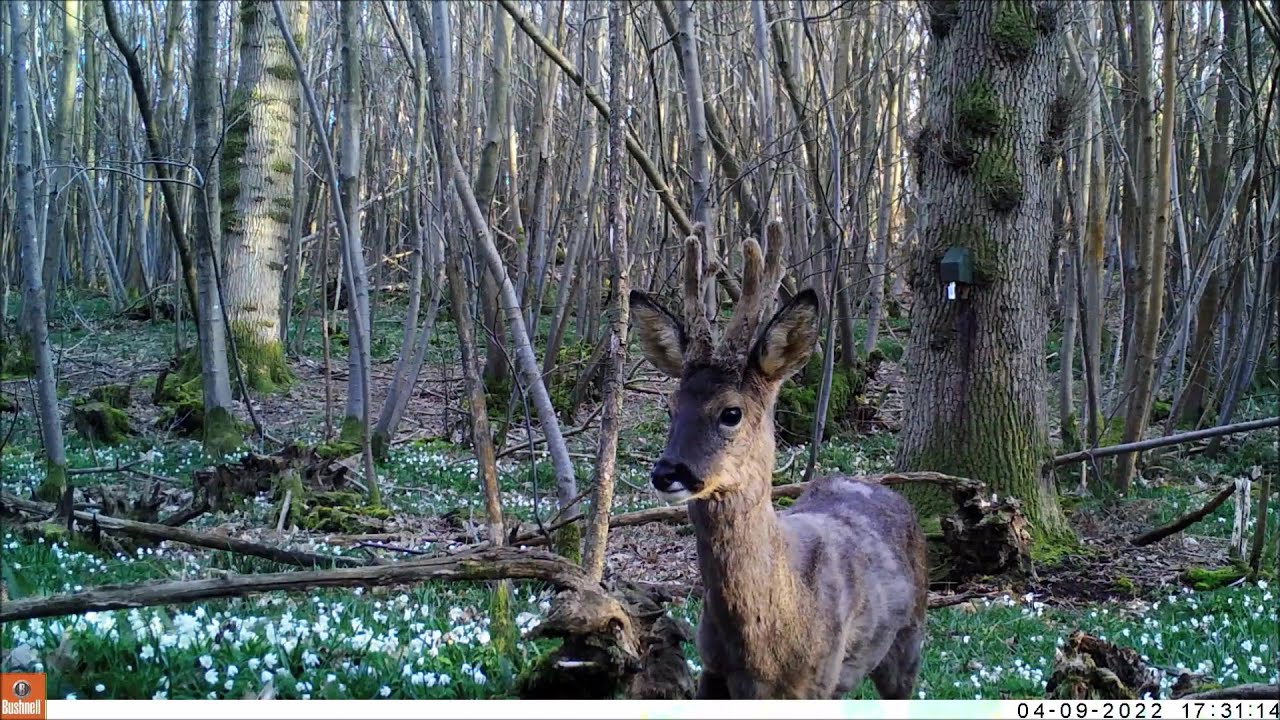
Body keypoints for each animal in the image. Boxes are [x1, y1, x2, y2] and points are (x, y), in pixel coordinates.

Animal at [627, 221, 929, 700]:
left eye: (731, 412)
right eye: (671, 406)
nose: (668, 472)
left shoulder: (815, 679)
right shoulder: (711, 670)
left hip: (909, 637)